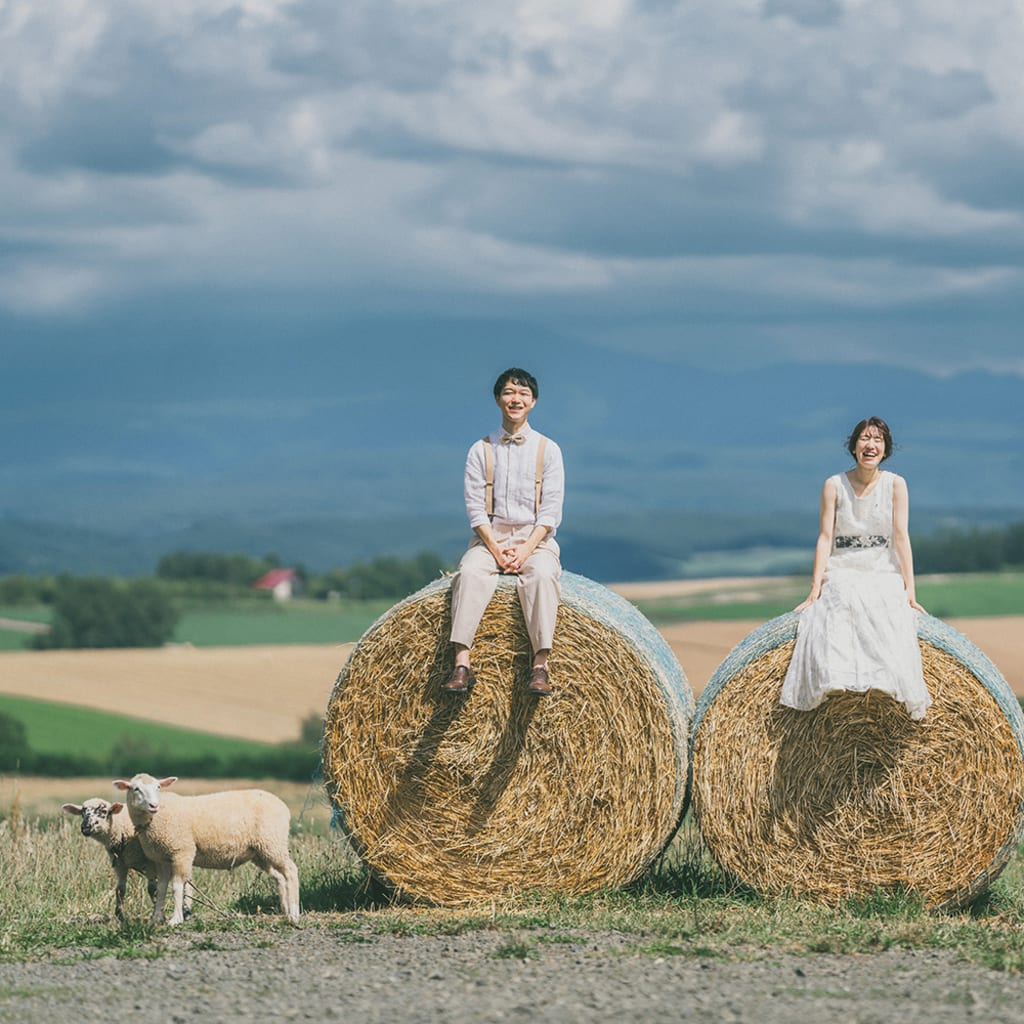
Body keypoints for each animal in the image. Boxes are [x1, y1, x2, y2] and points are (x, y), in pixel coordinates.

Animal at [115, 774, 301, 929]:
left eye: (158, 787)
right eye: (136, 788)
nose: (154, 805)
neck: (157, 817)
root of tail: (283, 806)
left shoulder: (181, 852)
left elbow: (177, 887)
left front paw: (176, 919)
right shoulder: (162, 858)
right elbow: (161, 888)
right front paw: (155, 918)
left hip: (273, 842)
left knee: (291, 871)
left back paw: (294, 914)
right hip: (262, 851)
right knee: (280, 877)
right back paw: (285, 910)